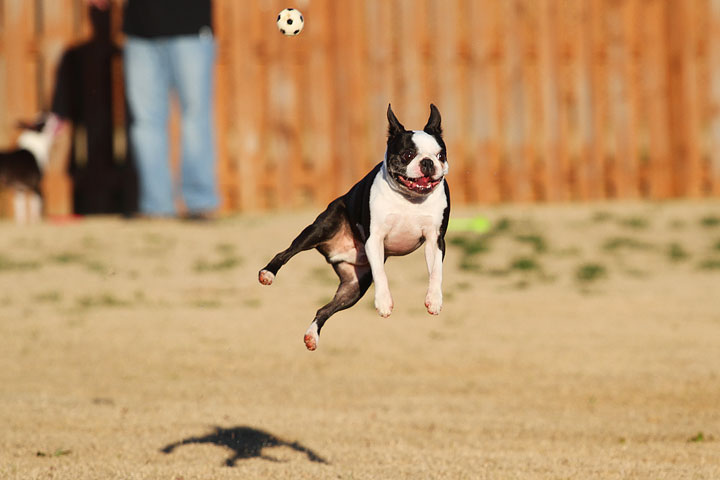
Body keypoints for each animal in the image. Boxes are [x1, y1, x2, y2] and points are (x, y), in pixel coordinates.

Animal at [258, 105, 450, 350]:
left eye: (441, 156)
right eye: (407, 155)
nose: (427, 162)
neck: (410, 199)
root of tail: (337, 252)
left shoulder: (435, 240)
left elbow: (436, 271)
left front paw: (434, 299)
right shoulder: (374, 238)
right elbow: (381, 274)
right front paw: (384, 302)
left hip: (354, 287)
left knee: (324, 310)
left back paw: (312, 336)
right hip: (319, 229)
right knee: (285, 253)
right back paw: (268, 273)